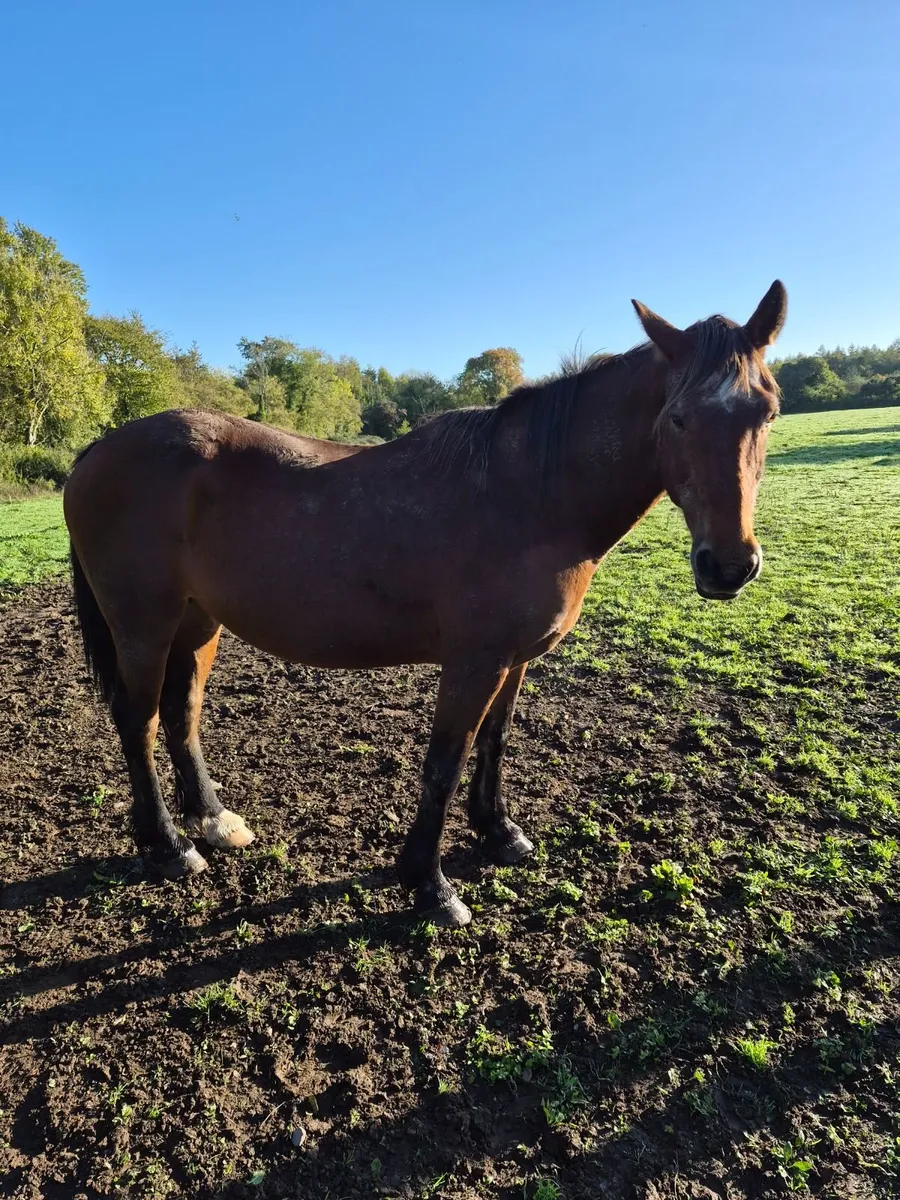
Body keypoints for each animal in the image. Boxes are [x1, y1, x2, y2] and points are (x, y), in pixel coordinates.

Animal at [64, 283, 787, 927]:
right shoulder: (473, 661)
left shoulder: (515, 659)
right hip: (144, 625)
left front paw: (499, 833)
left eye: (768, 411)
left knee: (181, 715)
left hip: (197, 623)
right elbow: (445, 761)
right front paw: (429, 885)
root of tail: (97, 450)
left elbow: (495, 739)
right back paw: (168, 845)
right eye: (678, 417)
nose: (728, 565)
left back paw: (213, 821)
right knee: (137, 721)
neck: (531, 496)